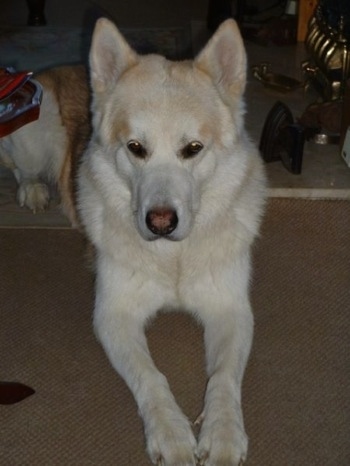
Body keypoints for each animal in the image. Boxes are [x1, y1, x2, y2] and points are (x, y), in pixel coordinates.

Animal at [78, 16, 266, 464]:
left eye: (192, 148)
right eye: (136, 148)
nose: (161, 222)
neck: (173, 258)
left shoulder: (231, 310)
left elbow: (223, 378)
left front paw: (223, 433)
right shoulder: (113, 316)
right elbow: (152, 376)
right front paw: (172, 434)